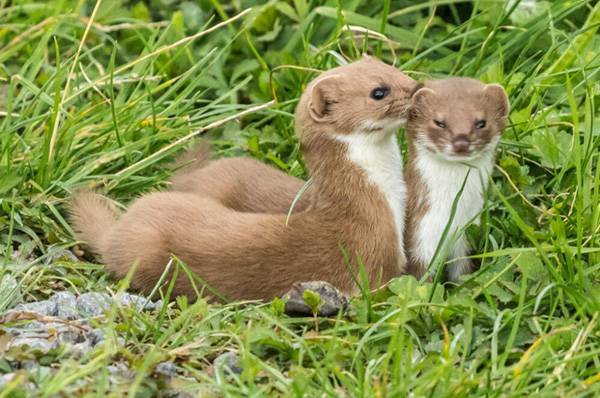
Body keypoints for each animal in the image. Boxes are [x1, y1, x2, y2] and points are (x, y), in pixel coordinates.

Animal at [69, 57, 418, 300]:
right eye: (378, 91)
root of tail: (117, 234)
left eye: (392, 66)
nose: (416, 88)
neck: (384, 196)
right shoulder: (374, 256)